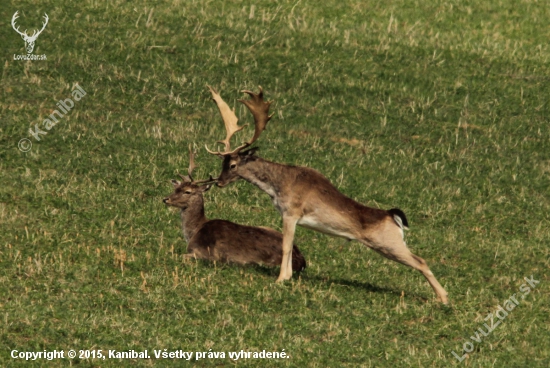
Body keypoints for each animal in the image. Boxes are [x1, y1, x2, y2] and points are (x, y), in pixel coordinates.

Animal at [164, 147, 308, 274]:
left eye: (187, 192)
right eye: (176, 188)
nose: (166, 199)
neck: (195, 230)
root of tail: (302, 261)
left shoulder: (206, 255)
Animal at [205, 85, 450, 304]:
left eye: (233, 165)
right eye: (223, 163)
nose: (219, 182)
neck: (278, 184)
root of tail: (394, 217)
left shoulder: (291, 213)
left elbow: (286, 245)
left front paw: (281, 279)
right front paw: (286, 277)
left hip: (389, 244)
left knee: (421, 261)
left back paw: (444, 299)